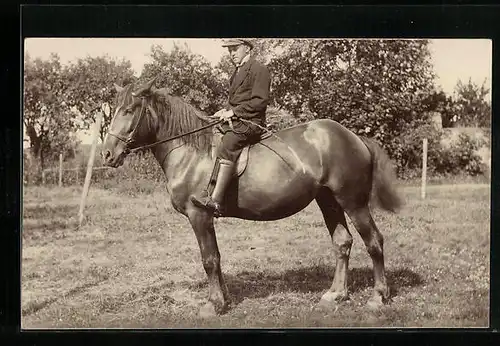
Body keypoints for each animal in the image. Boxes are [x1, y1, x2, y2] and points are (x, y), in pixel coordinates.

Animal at [100, 77, 402, 316]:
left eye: (129, 110)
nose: (107, 154)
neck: (191, 151)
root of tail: (355, 138)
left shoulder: (199, 215)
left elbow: (209, 259)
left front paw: (213, 305)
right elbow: (217, 257)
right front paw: (224, 300)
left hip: (353, 202)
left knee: (374, 242)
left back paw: (378, 297)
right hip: (328, 201)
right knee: (342, 242)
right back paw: (335, 294)